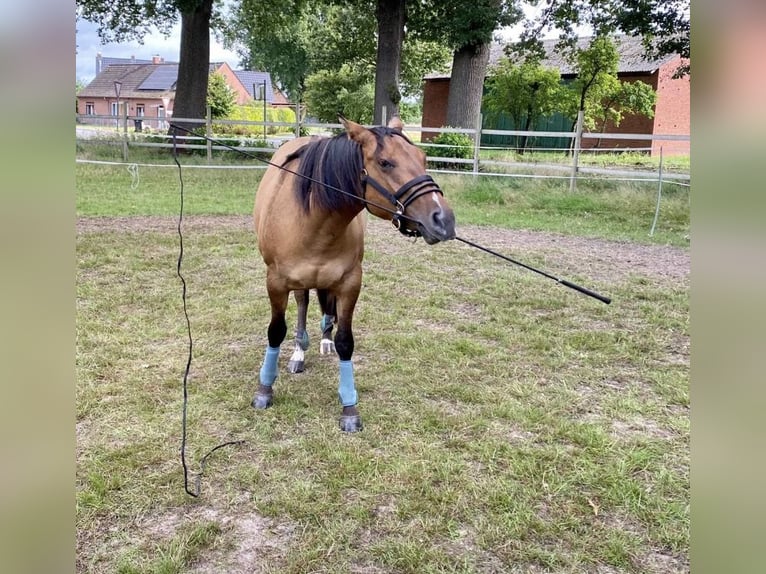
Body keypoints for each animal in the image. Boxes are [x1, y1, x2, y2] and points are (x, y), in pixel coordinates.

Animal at [252, 116, 456, 432]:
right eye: (385, 162)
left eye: (423, 158)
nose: (443, 220)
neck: (313, 220)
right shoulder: (275, 282)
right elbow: (275, 331)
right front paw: (265, 389)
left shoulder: (350, 283)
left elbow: (345, 341)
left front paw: (349, 407)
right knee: (302, 303)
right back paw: (299, 350)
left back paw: (323, 338)